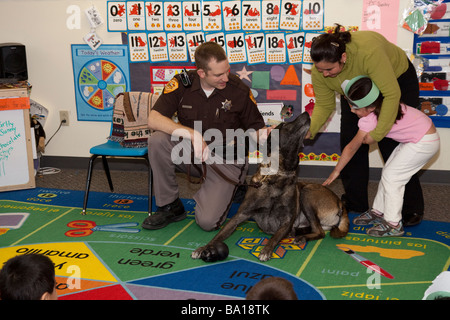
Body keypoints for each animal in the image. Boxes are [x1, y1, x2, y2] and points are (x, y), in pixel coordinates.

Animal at [190, 112, 348, 262]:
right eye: (284, 125)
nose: (306, 114)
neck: (278, 175)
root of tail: (340, 202)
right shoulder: (239, 216)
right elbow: (218, 235)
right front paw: (204, 247)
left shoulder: (287, 221)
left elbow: (275, 237)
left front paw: (266, 250)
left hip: (306, 193)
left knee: (320, 231)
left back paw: (301, 237)